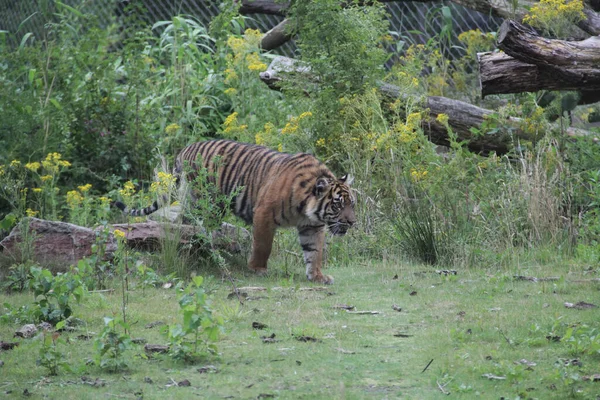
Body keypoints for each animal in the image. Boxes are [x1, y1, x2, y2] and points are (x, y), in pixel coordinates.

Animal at [115, 141, 354, 284]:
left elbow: (315, 252)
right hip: (204, 201)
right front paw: (258, 269)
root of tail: (185, 148)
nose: (352, 222)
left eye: (352, 204)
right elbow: (263, 246)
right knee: (191, 223)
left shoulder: (312, 226)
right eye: (338, 205)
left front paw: (317, 276)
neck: (306, 208)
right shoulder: (264, 214)